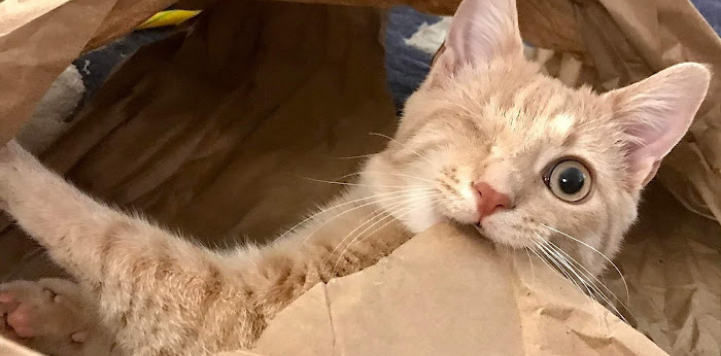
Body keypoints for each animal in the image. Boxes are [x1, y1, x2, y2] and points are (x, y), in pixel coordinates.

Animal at [0, 0, 708, 354]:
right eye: (473, 124)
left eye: (570, 182)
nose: (491, 195)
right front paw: (58, 313)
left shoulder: (240, 307)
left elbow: (116, 245)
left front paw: (14, 159)